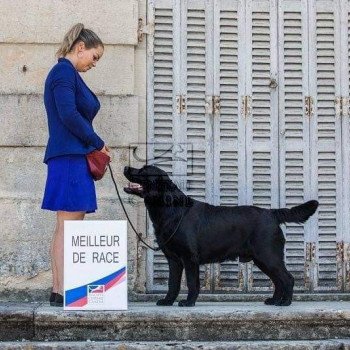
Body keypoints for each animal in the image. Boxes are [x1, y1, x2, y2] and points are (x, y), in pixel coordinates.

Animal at [124, 165, 318, 306]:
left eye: (143, 170)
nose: (126, 167)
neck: (172, 210)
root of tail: (272, 213)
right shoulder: (174, 260)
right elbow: (173, 284)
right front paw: (167, 301)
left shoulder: (190, 258)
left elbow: (192, 283)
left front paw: (188, 302)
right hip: (262, 259)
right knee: (278, 280)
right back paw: (275, 300)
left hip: (268, 256)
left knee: (287, 278)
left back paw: (285, 302)